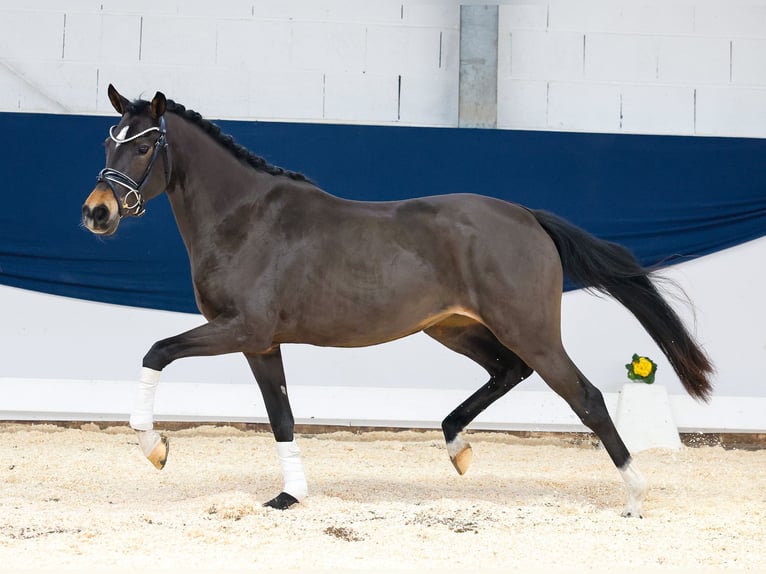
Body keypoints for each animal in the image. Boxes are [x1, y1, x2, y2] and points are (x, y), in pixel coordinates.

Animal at [81, 84, 716, 516]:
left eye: (145, 148)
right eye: (109, 142)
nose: (97, 213)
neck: (246, 218)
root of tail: (527, 216)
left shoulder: (241, 329)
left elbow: (157, 351)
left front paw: (155, 448)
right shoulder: (261, 343)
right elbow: (282, 416)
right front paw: (289, 495)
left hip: (530, 330)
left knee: (585, 396)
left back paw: (635, 495)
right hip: (453, 327)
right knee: (506, 370)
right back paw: (458, 447)